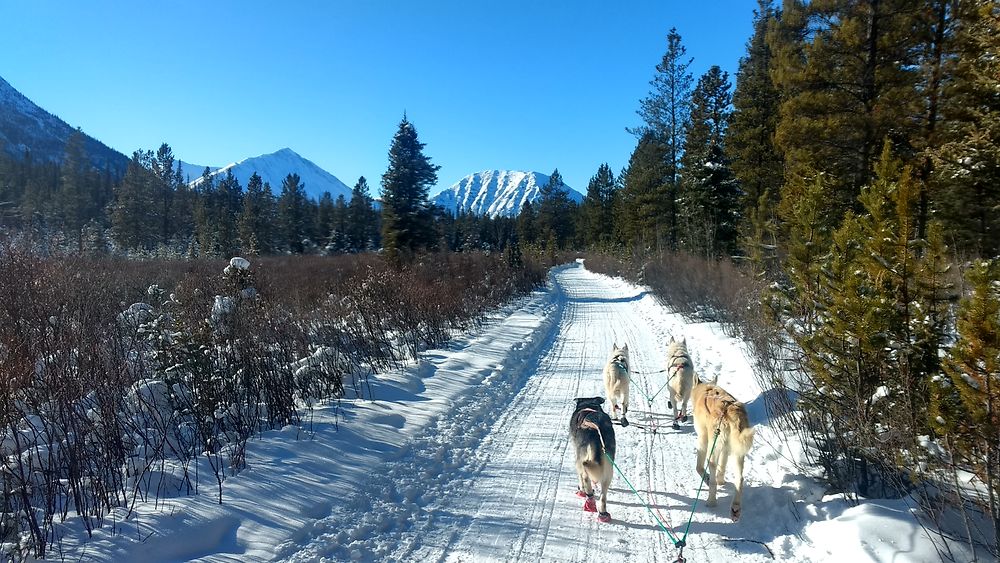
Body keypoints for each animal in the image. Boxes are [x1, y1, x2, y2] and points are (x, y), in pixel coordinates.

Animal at [572, 396, 616, 524]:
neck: (589, 404)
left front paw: (580, 490)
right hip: (608, 468)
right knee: (603, 497)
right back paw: (603, 514)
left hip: (582, 463)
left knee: (586, 483)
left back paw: (589, 502)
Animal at [692, 376, 752, 524]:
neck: (706, 390)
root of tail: (729, 411)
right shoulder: (725, 449)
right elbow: (723, 466)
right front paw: (721, 481)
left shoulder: (702, 440)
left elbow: (699, 468)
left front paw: (707, 478)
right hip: (737, 452)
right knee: (740, 478)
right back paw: (735, 509)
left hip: (713, 449)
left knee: (712, 470)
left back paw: (711, 501)